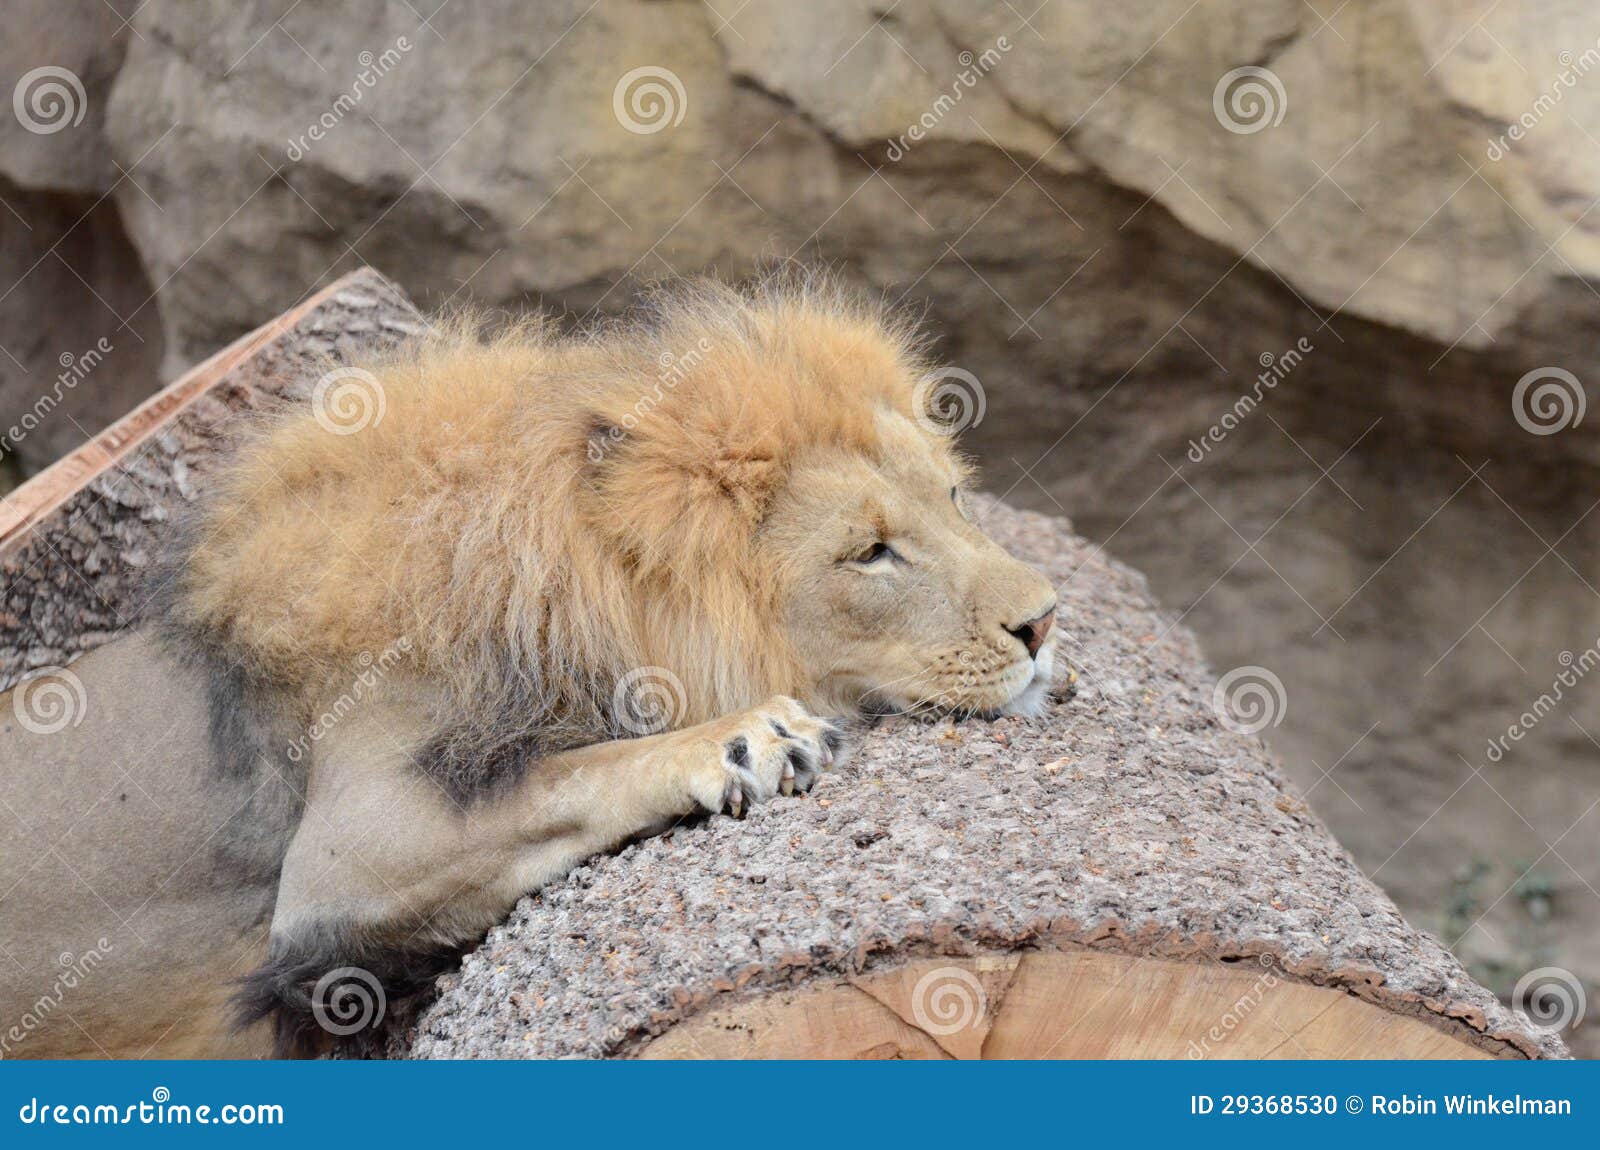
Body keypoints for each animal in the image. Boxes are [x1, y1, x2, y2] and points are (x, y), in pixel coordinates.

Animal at [0, 274, 1059, 1058]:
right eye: (870, 553)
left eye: (952, 495)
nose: (1045, 622)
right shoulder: (342, 852)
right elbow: (572, 772)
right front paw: (744, 738)